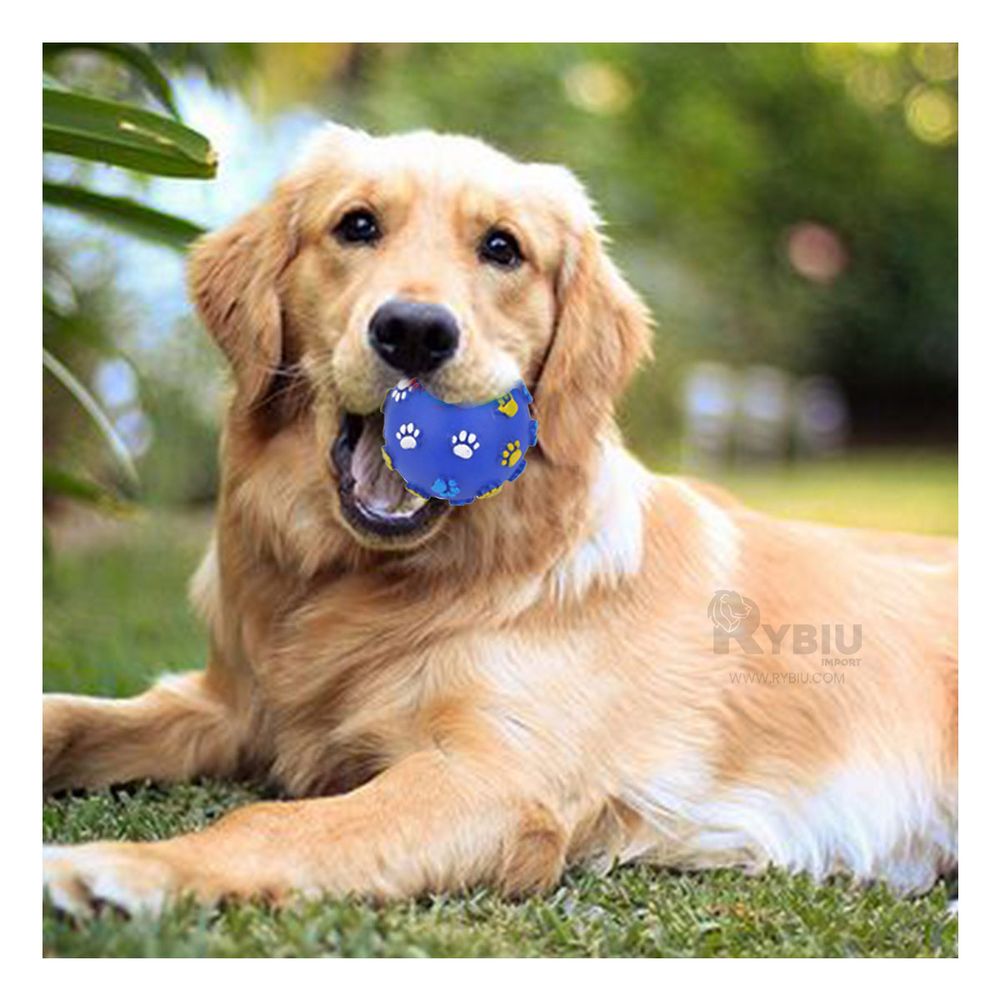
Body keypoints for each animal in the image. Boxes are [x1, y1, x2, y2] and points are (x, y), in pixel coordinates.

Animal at [41, 123, 960, 916]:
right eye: (357, 225)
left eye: (502, 248)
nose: (414, 332)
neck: (375, 582)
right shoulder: (232, 704)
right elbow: (69, 714)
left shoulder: (494, 779)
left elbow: (271, 822)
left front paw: (117, 868)